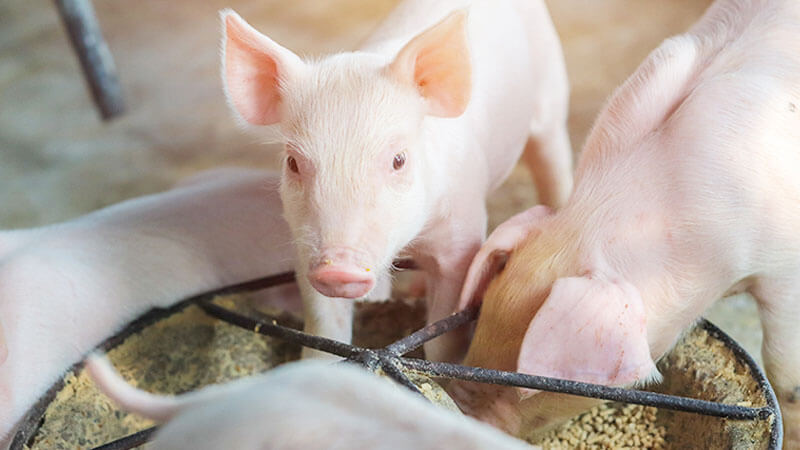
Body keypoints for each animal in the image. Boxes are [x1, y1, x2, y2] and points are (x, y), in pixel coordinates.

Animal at [220, 0, 573, 362]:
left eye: (398, 160)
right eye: (293, 163)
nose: (338, 268)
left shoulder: (462, 235)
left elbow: (443, 330)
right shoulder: (304, 243)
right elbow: (325, 329)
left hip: (551, 97)